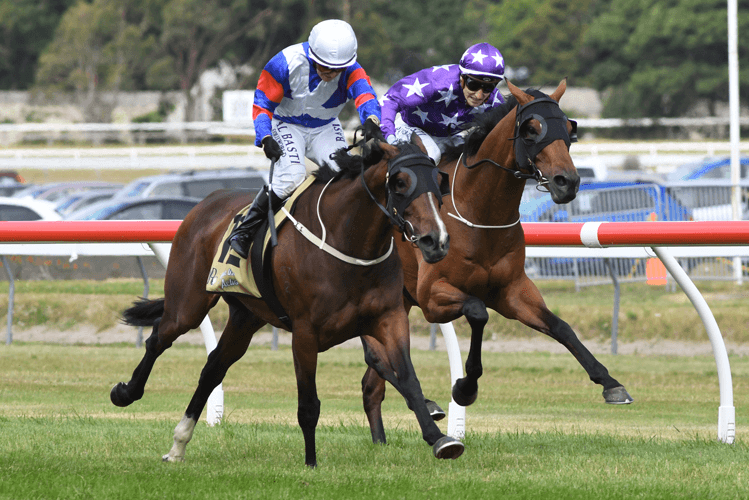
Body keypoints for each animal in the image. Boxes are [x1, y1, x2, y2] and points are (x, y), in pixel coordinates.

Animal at [111, 140, 464, 464]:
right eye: (400, 182)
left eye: (438, 179)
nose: (436, 240)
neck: (348, 241)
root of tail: (206, 202)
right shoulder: (305, 333)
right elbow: (309, 405)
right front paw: (310, 463)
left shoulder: (389, 318)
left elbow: (408, 378)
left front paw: (440, 438)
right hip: (189, 303)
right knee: (159, 337)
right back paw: (126, 393)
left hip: (246, 318)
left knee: (212, 368)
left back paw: (178, 444)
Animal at [360, 80, 632, 444]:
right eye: (531, 129)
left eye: (569, 128)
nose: (568, 182)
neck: (480, 212)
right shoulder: (433, 297)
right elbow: (478, 313)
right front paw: (464, 387)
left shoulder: (512, 291)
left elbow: (561, 328)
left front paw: (611, 384)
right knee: (376, 360)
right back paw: (427, 405)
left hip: (394, 304)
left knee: (371, 385)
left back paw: (383, 439)